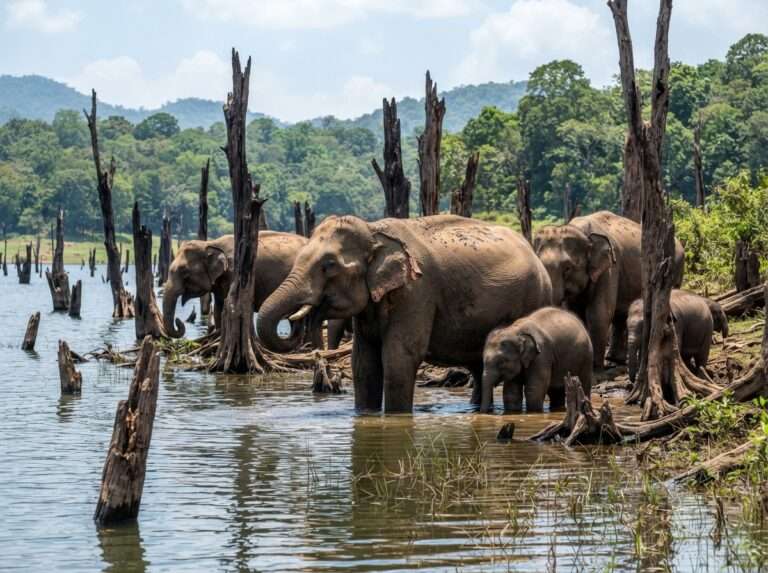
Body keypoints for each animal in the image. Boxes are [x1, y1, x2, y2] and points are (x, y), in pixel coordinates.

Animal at [256, 214, 553, 413]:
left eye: (329, 265)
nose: (297, 319)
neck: (374, 231)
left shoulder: (416, 292)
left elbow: (400, 356)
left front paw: (394, 416)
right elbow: (363, 362)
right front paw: (366, 414)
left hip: (535, 296)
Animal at [534, 210, 685, 369]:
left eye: (567, 268)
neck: (581, 231)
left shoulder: (610, 268)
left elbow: (599, 313)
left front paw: (595, 365)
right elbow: (575, 312)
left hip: (675, 268)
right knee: (620, 316)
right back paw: (614, 359)